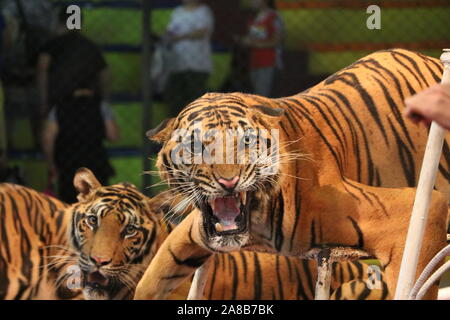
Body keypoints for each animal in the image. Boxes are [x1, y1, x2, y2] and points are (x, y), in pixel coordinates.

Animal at [135, 48, 448, 300]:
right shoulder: (191, 234)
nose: (229, 181)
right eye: (196, 145)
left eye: (245, 141)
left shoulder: (421, 211)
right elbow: (150, 279)